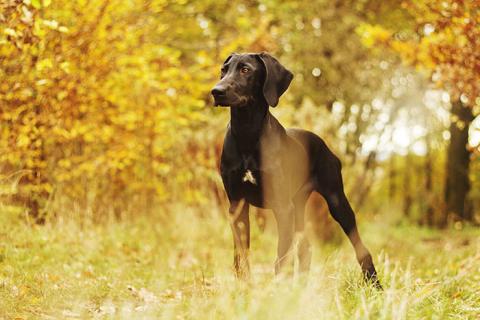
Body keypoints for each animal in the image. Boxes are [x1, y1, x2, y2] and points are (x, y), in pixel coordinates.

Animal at [212, 53, 380, 288]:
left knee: (359, 246)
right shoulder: (237, 204)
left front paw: (278, 289)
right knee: (305, 248)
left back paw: (374, 283)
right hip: (299, 206)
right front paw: (243, 286)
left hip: (336, 201)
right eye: (223, 70)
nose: (216, 91)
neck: (247, 133)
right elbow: (241, 253)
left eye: (246, 70)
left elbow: (282, 255)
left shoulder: (283, 207)